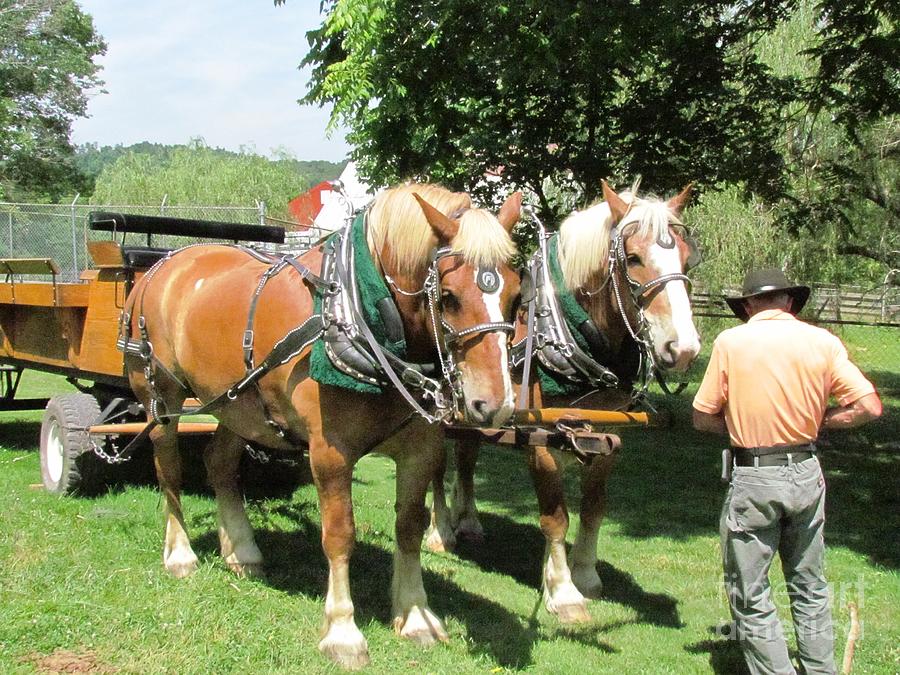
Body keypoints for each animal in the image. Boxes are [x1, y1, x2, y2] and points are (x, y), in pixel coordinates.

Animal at [123, 182, 524, 668]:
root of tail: (164, 263)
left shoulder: (420, 448)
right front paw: (343, 631)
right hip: (160, 397)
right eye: (448, 296)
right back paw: (180, 554)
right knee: (170, 470)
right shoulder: (330, 453)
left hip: (239, 403)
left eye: (518, 296)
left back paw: (242, 549)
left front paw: (414, 615)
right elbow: (339, 535)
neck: (359, 311)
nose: (495, 404)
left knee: (219, 463)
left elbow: (409, 527)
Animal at [428, 180, 704, 624]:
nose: (684, 348)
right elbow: (555, 516)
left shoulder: (607, 433)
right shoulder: (541, 437)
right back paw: (440, 531)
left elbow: (593, 508)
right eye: (632, 258)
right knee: (436, 466)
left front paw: (586, 574)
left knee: (467, 456)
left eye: (685, 256)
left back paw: (468, 520)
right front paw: (563, 591)